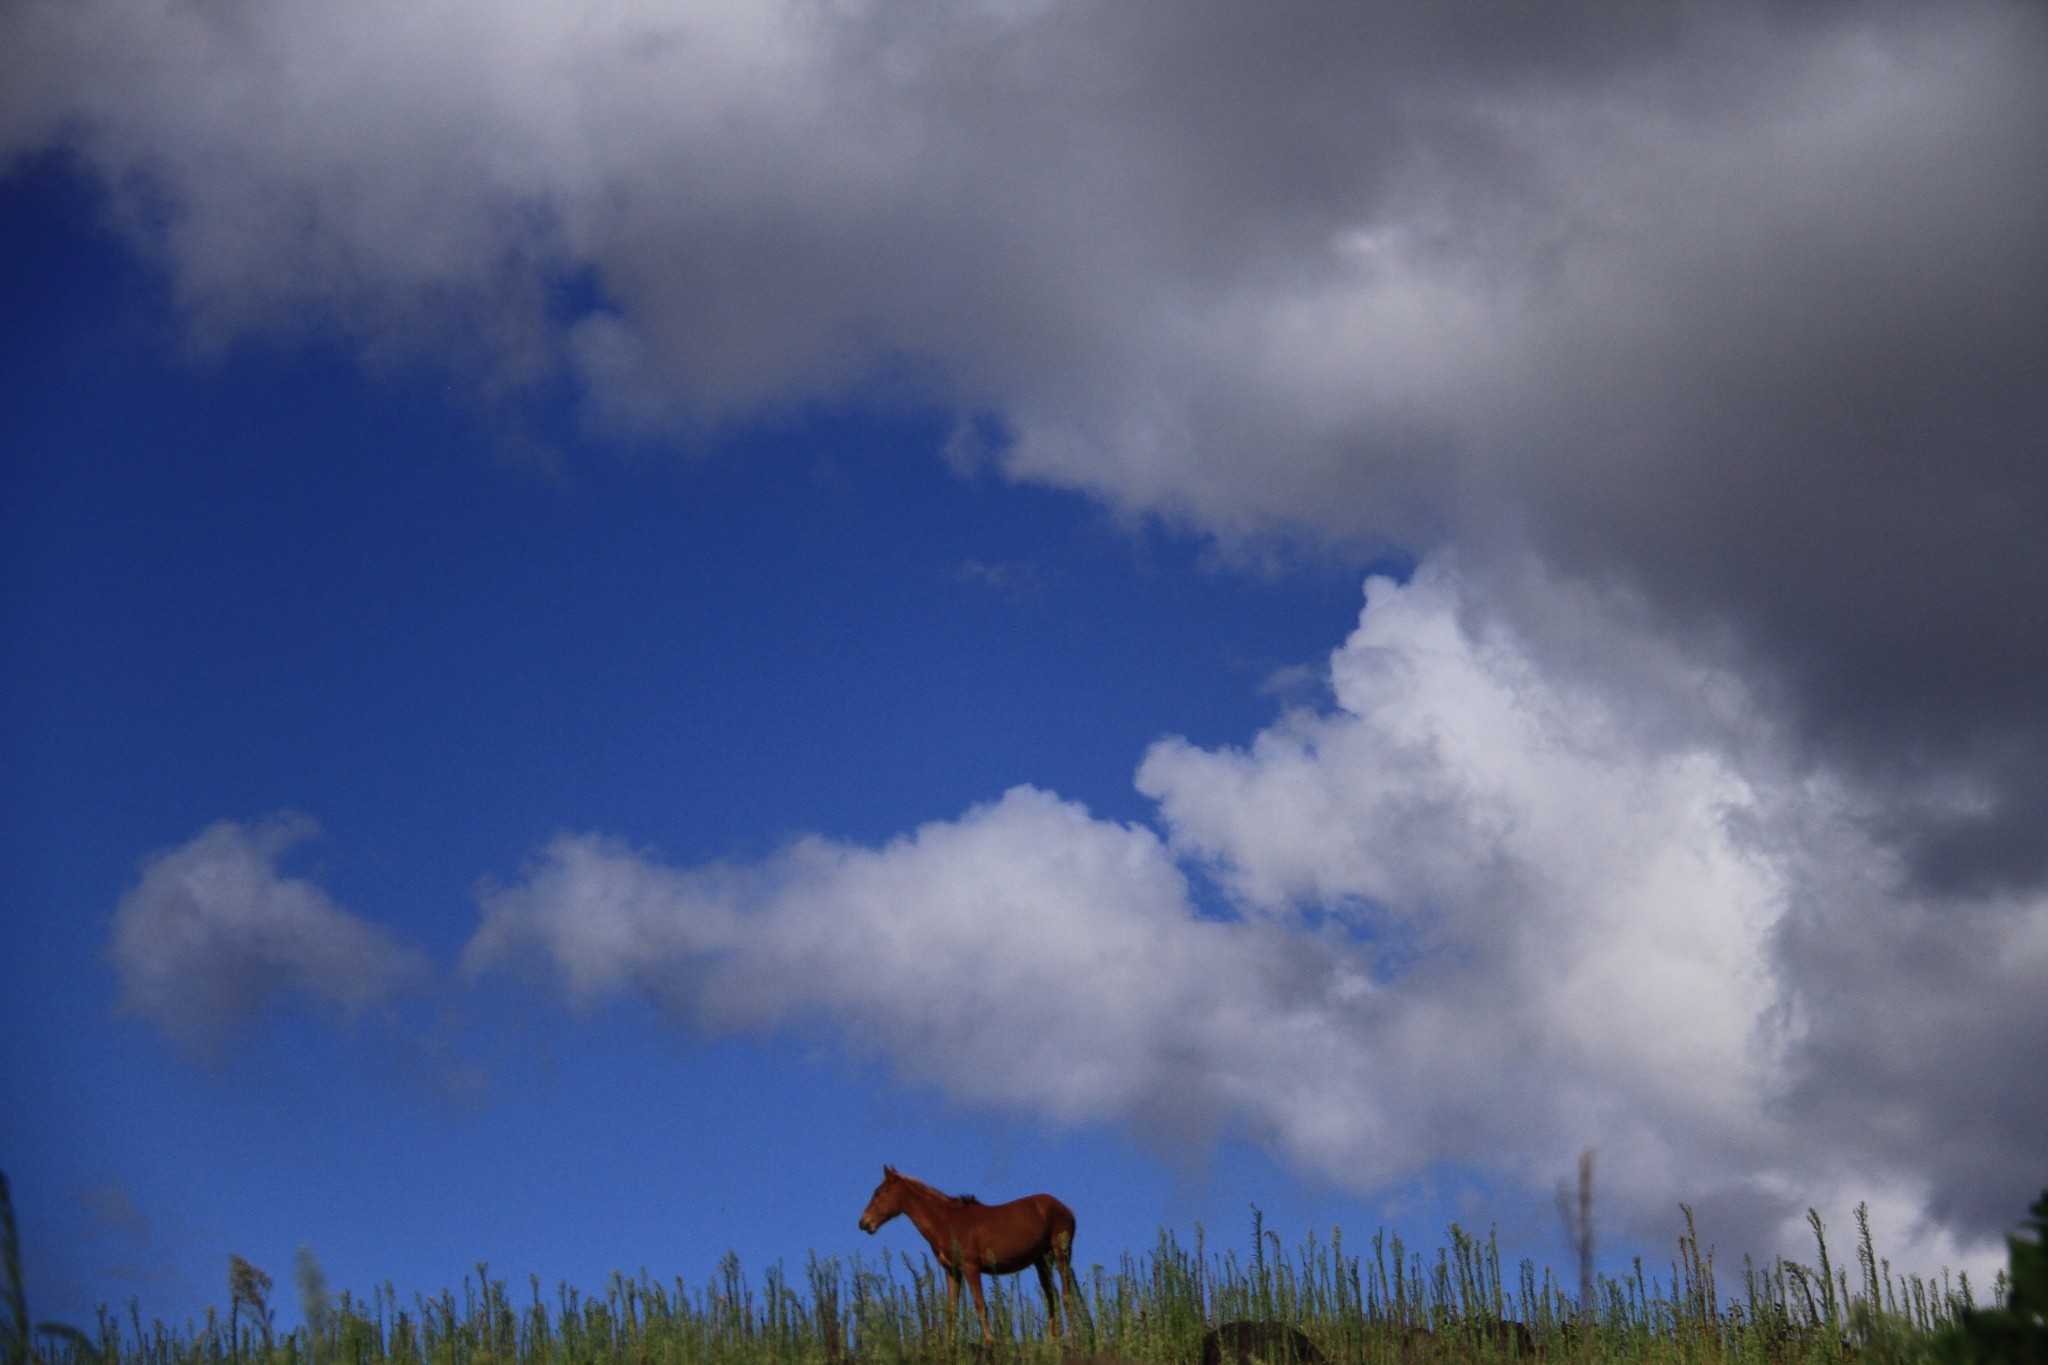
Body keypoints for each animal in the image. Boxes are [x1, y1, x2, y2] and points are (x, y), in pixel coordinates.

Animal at [851, 1162, 1081, 1342]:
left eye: (878, 1193)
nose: (863, 1223)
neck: (947, 1221)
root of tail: (1068, 1210)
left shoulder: (971, 1267)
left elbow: (980, 1304)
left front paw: (989, 1341)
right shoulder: (952, 1271)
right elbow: (951, 1309)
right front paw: (950, 1343)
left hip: (1061, 1254)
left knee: (1066, 1294)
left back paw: (1070, 1337)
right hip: (1041, 1260)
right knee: (1051, 1296)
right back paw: (1052, 1341)